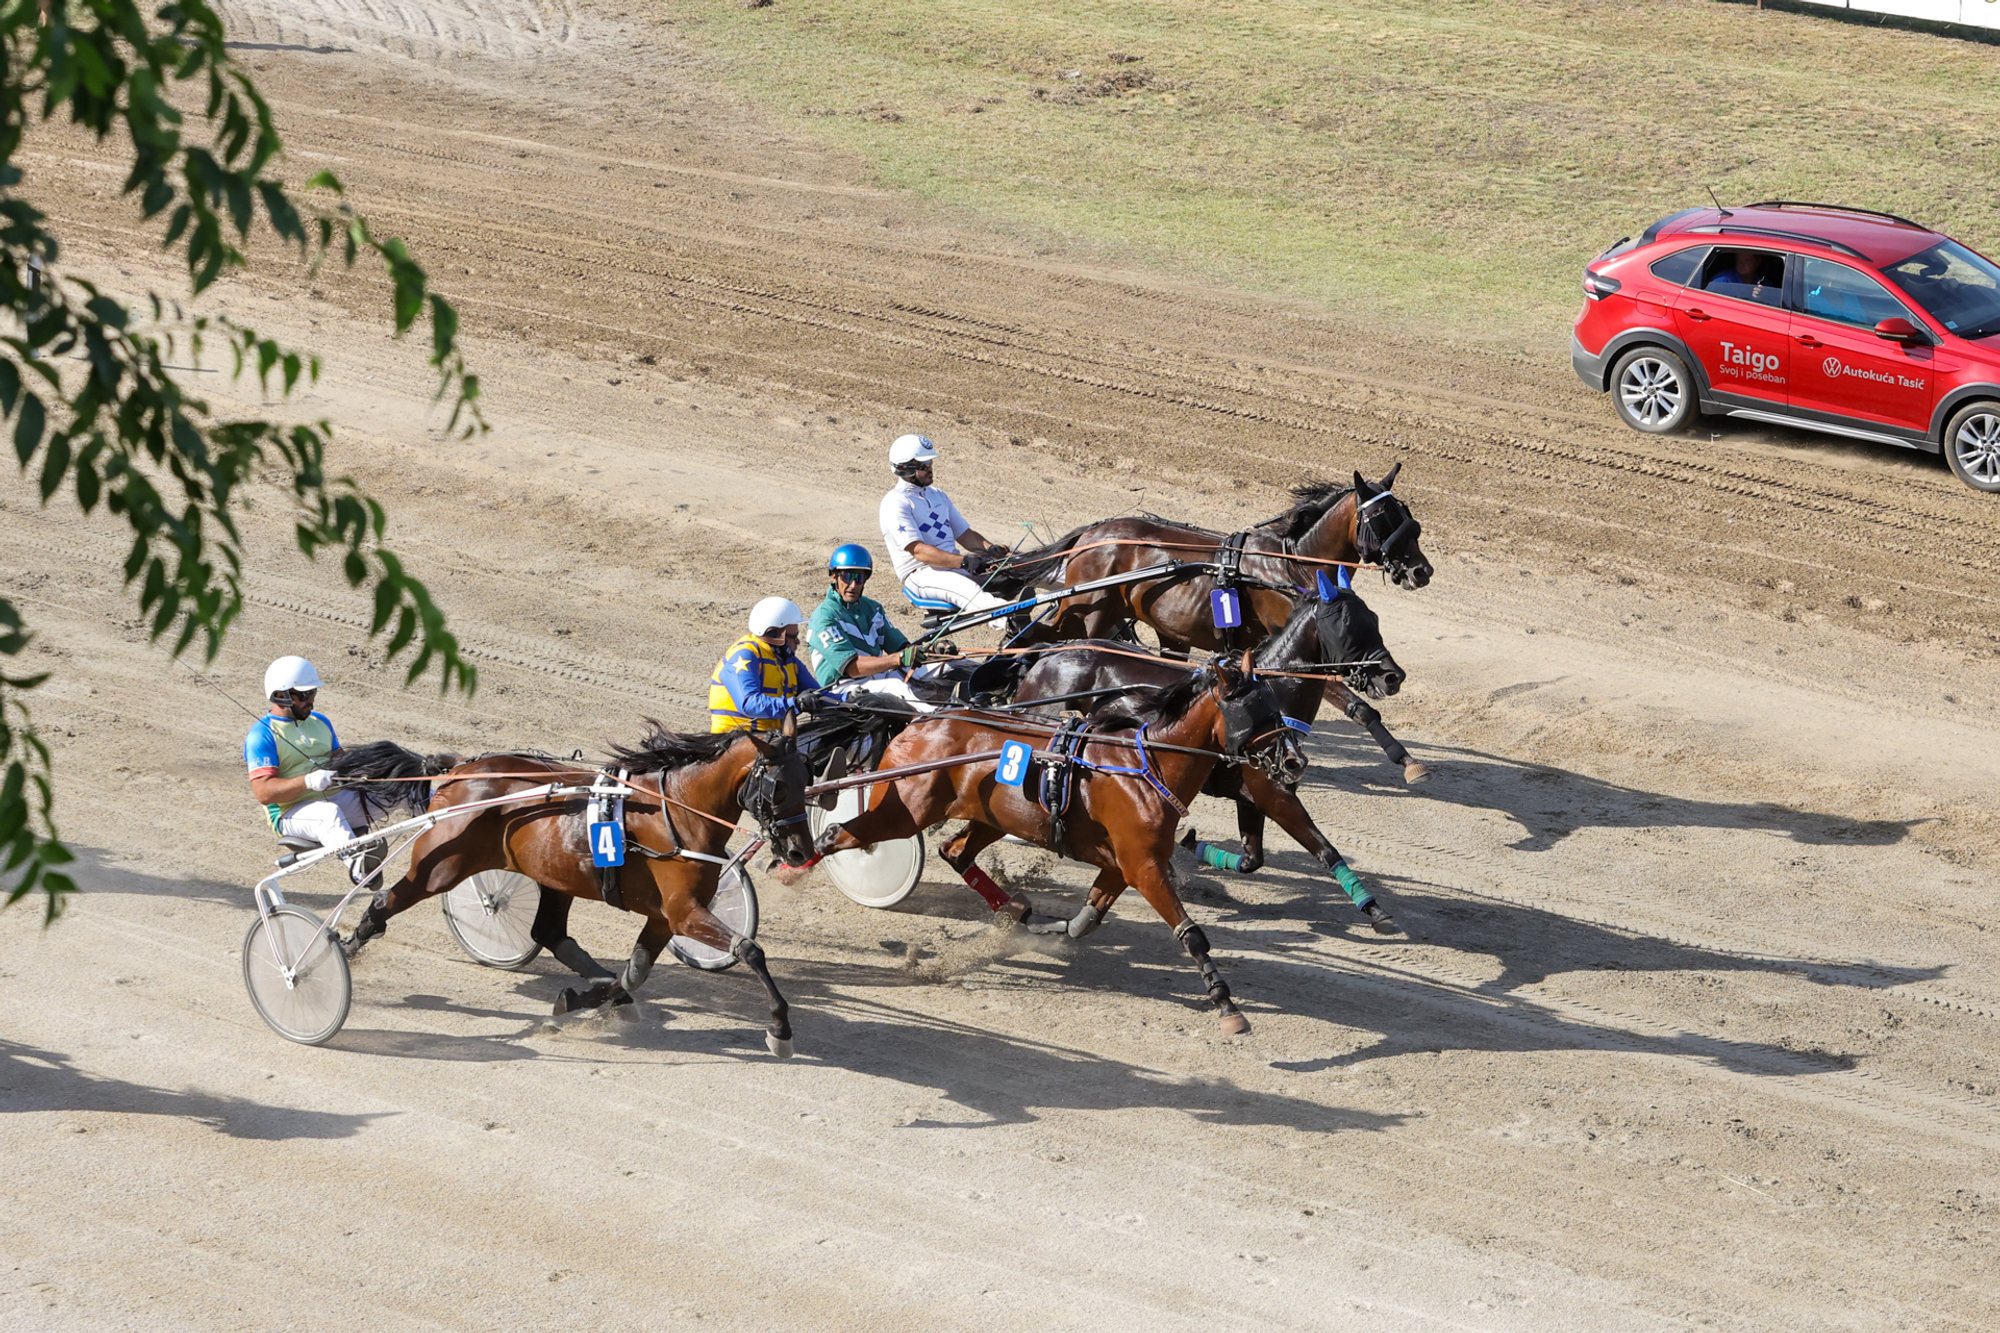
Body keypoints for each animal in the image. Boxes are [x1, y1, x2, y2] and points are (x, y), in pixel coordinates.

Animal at [328, 718, 815, 1056]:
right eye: (778, 786)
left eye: (809, 780)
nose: (798, 851)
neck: (676, 810)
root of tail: (457, 771)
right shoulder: (682, 911)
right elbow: (750, 950)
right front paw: (780, 1030)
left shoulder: (663, 917)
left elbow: (634, 973)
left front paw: (588, 999)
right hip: (442, 867)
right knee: (385, 900)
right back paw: (345, 949)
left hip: (552, 877)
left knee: (549, 932)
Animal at [805, 659, 1305, 1034]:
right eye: (1255, 712)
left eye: (1277, 708)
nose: (1295, 761)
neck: (1146, 769)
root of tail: (918, 721)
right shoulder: (1143, 865)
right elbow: (1192, 934)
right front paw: (1227, 1006)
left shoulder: (1121, 866)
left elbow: (1085, 922)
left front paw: (1048, 930)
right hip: (904, 810)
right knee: (839, 835)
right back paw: (793, 870)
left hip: (990, 816)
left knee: (956, 852)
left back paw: (1015, 909)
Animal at [1004, 586, 1405, 934]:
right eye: (1347, 624)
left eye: (1373, 618)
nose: (1393, 676)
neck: (1271, 695)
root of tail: (1046, 655)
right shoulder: (1273, 792)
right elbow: (1324, 848)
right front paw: (1376, 910)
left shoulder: (1251, 793)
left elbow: (1252, 858)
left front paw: (1190, 844)